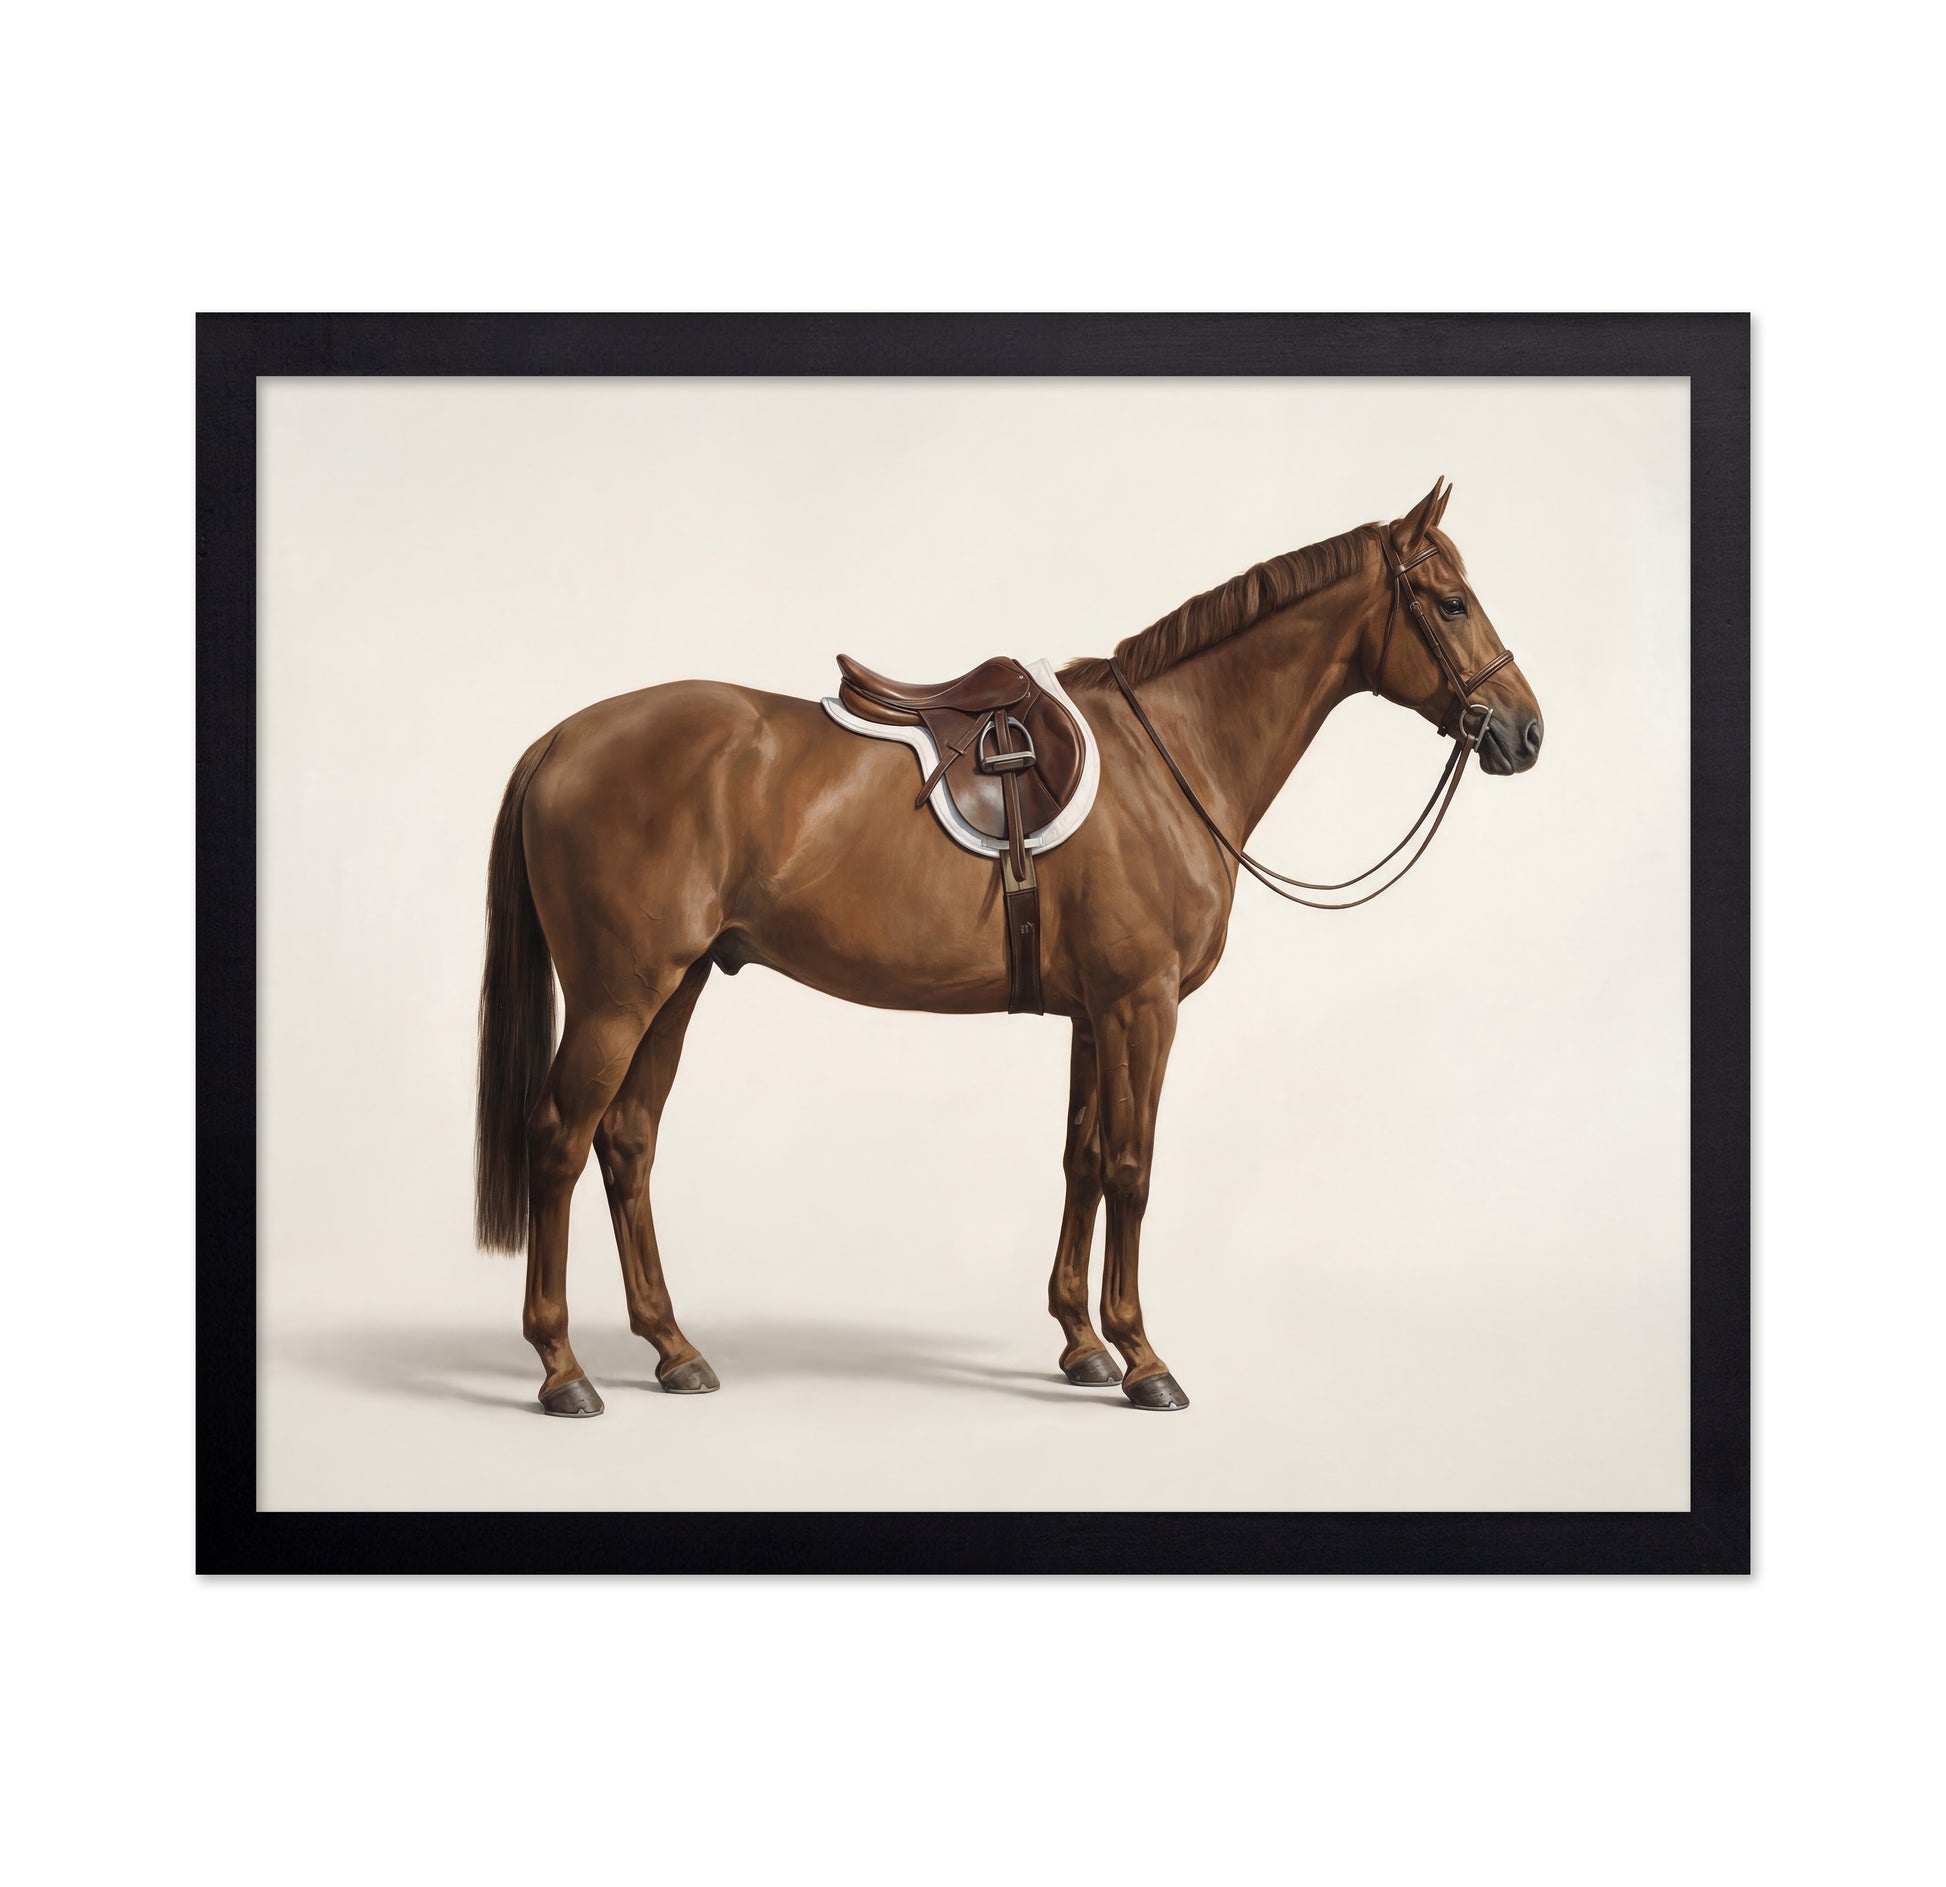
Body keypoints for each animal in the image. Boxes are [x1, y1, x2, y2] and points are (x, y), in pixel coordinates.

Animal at [474, 478, 1544, 1415]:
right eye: (1451, 603)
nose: (1526, 732)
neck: (1170, 758)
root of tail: (562, 739)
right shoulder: (1143, 1003)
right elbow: (1132, 1168)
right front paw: (1144, 1358)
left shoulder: (1093, 1012)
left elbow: (1082, 1156)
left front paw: (1081, 1342)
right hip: (620, 993)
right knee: (559, 1138)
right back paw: (563, 1369)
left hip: (679, 983)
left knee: (627, 1139)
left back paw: (674, 1349)